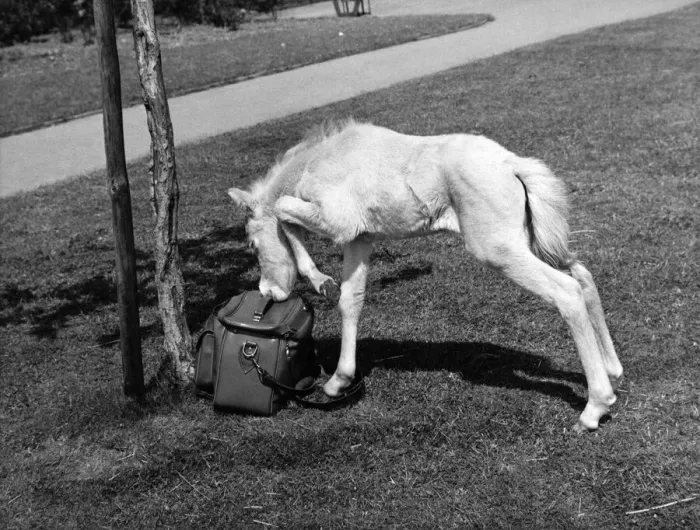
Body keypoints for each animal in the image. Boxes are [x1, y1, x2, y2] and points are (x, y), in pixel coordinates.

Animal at [227, 120, 624, 432]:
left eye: (252, 245)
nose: (268, 291)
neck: (321, 161)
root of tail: (512, 164)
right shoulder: (358, 239)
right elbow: (351, 302)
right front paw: (338, 381)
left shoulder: (337, 222)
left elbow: (283, 211)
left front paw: (318, 278)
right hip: (530, 241)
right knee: (583, 276)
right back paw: (613, 368)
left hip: (498, 249)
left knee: (567, 291)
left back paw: (595, 407)